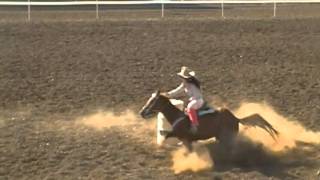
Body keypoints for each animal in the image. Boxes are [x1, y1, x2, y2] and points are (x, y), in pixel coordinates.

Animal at [139, 90, 278, 151]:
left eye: (153, 101)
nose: (142, 112)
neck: (178, 116)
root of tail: (235, 118)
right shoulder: (184, 138)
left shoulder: (183, 136)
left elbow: (167, 134)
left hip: (227, 136)